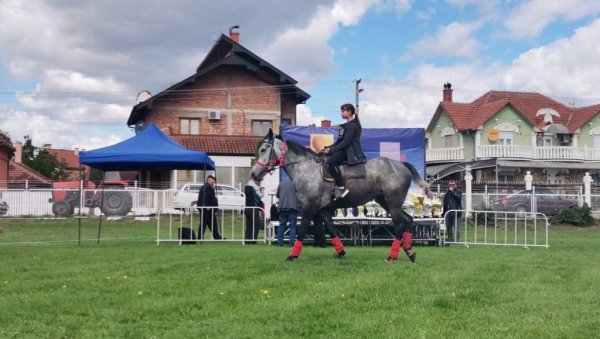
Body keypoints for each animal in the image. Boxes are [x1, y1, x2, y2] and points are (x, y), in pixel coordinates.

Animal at [251, 129, 434, 262]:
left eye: (263, 149)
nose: (254, 174)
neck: (305, 168)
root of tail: (400, 164)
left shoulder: (309, 208)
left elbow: (301, 230)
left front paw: (293, 255)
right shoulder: (323, 210)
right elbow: (332, 230)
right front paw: (341, 253)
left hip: (393, 203)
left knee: (398, 225)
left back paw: (393, 256)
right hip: (385, 201)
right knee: (408, 220)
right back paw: (409, 251)